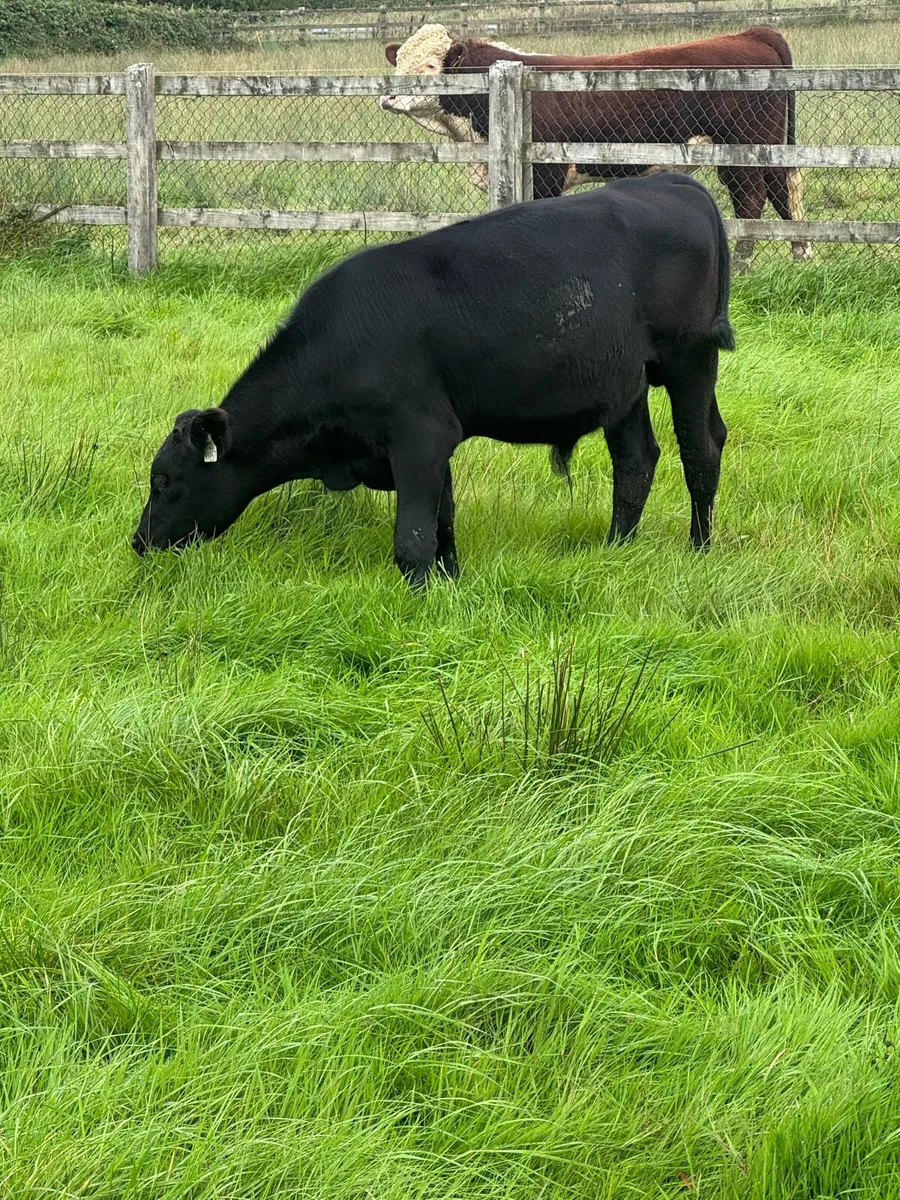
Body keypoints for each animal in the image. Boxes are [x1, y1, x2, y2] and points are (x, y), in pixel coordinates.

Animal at [133, 173, 734, 589]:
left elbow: (413, 541)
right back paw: (616, 549)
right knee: (636, 462)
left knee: (700, 449)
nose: (139, 542)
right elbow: (443, 524)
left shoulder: (419, 437)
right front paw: (450, 584)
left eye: (165, 480)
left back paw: (699, 549)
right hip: (623, 387)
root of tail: (673, 181)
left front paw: (421, 601)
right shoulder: (432, 439)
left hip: (690, 358)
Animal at [381, 23, 811, 271]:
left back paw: (743, 266)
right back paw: (803, 255)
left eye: (431, 67)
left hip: (744, 149)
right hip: (772, 147)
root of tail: (751, 34)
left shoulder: (546, 173)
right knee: (783, 189)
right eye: (398, 62)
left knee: (752, 198)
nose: (388, 97)